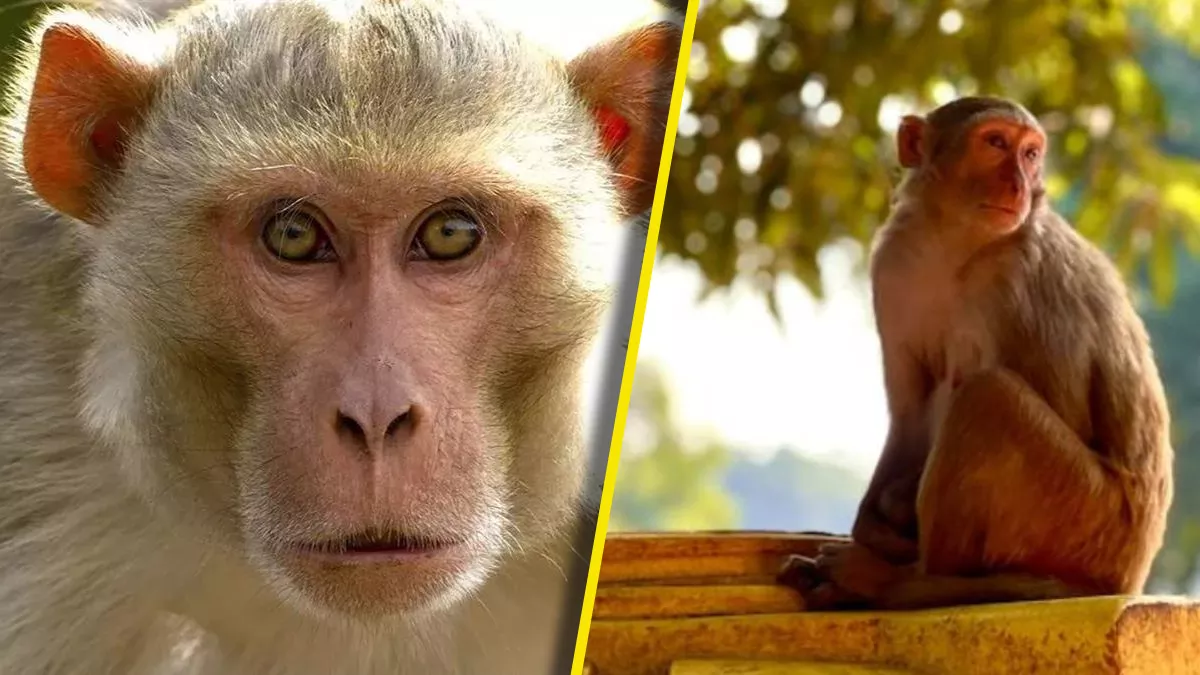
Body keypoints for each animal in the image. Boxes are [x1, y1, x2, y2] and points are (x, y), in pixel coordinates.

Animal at [779, 96, 1174, 612]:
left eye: (1030, 153)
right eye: (996, 142)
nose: (1020, 184)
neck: (957, 241)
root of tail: (1130, 575)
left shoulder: (1024, 278)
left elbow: (1068, 410)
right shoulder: (892, 263)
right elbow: (910, 411)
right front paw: (873, 521)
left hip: (1086, 520)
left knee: (988, 396)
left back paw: (900, 584)